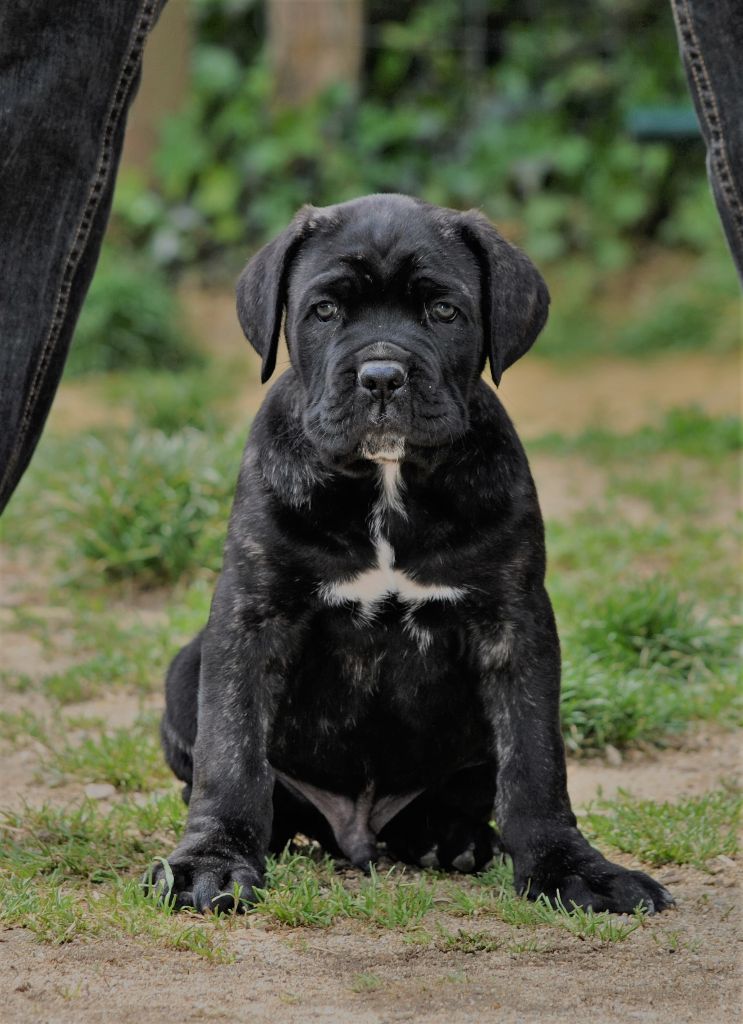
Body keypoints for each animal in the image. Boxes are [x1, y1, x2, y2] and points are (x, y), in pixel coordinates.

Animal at [154, 195, 679, 917]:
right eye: (324, 310)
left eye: (443, 311)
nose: (381, 374)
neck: (388, 482)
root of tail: (353, 830)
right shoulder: (250, 617)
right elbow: (231, 753)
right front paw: (212, 858)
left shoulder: (515, 626)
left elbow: (534, 763)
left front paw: (572, 867)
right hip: (186, 670)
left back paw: (449, 838)